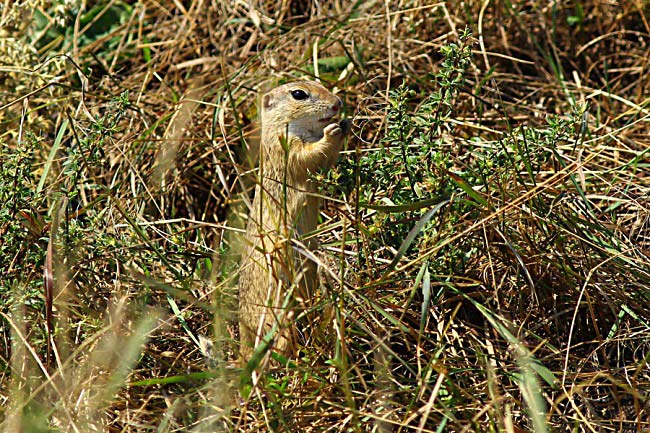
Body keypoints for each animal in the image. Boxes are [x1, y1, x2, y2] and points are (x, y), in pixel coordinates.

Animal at [238, 81, 350, 363]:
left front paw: (345, 124)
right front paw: (332, 131)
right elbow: (309, 156)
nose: (338, 104)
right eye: (298, 94)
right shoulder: (285, 146)